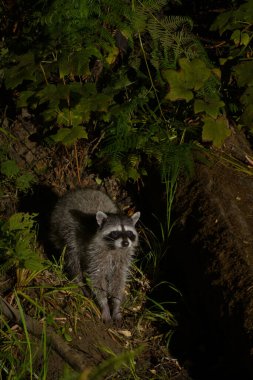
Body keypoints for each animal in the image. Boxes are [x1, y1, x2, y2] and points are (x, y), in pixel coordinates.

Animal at [49, 189, 140, 322]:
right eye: (115, 233)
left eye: (129, 233)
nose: (125, 243)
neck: (114, 248)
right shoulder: (95, 253)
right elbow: (97, 277)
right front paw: (104, 304)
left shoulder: (123, 257)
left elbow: (118, 278)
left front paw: (116, 305)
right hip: (65, 230)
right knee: (73, 258)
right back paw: (80, 282)